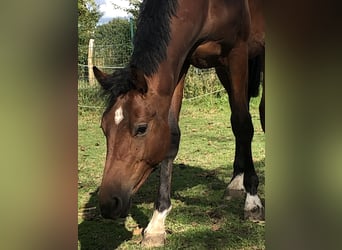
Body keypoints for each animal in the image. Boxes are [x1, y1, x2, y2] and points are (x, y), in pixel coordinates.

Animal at [93, 0, 264, 246]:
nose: (109, 204)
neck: (207, 7)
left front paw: (252, 201)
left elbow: (243, 124)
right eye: (104, 128)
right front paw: (157, 223)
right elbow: (172, 136)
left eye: (141, 128)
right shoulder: (182, 63)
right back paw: (235, 181)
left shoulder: (237, 54)